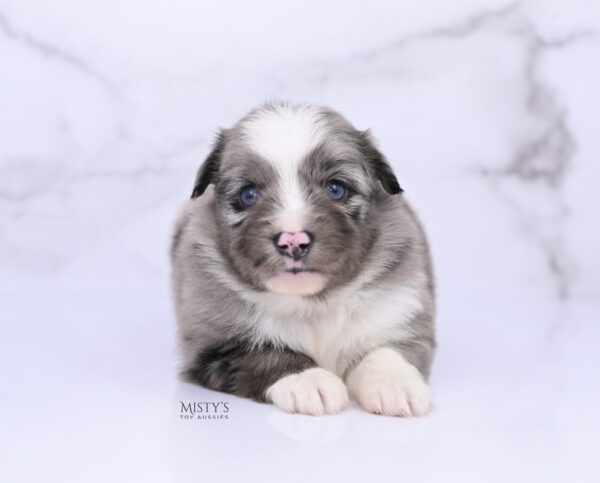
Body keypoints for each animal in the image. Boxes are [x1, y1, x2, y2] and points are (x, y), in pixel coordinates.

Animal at [171, 101, 434, 416]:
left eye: (336, 189)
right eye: (249, 195)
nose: (293, 242)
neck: (311, 305)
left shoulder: (400, 313)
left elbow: (385, 351)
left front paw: (395, 384)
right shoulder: (213, 346)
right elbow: (266, 353)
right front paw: (310, 381)